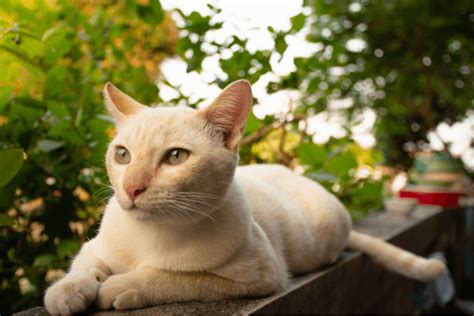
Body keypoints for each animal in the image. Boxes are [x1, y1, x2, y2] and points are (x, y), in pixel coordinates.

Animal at [42, 79, 446, 314]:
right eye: (122, 155)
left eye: (176, 157)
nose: (131, 188)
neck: (151, 234)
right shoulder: (94, 248)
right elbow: (84, 266)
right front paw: (66, 291)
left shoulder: (259, 276)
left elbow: (173, 277)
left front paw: (123, 285)